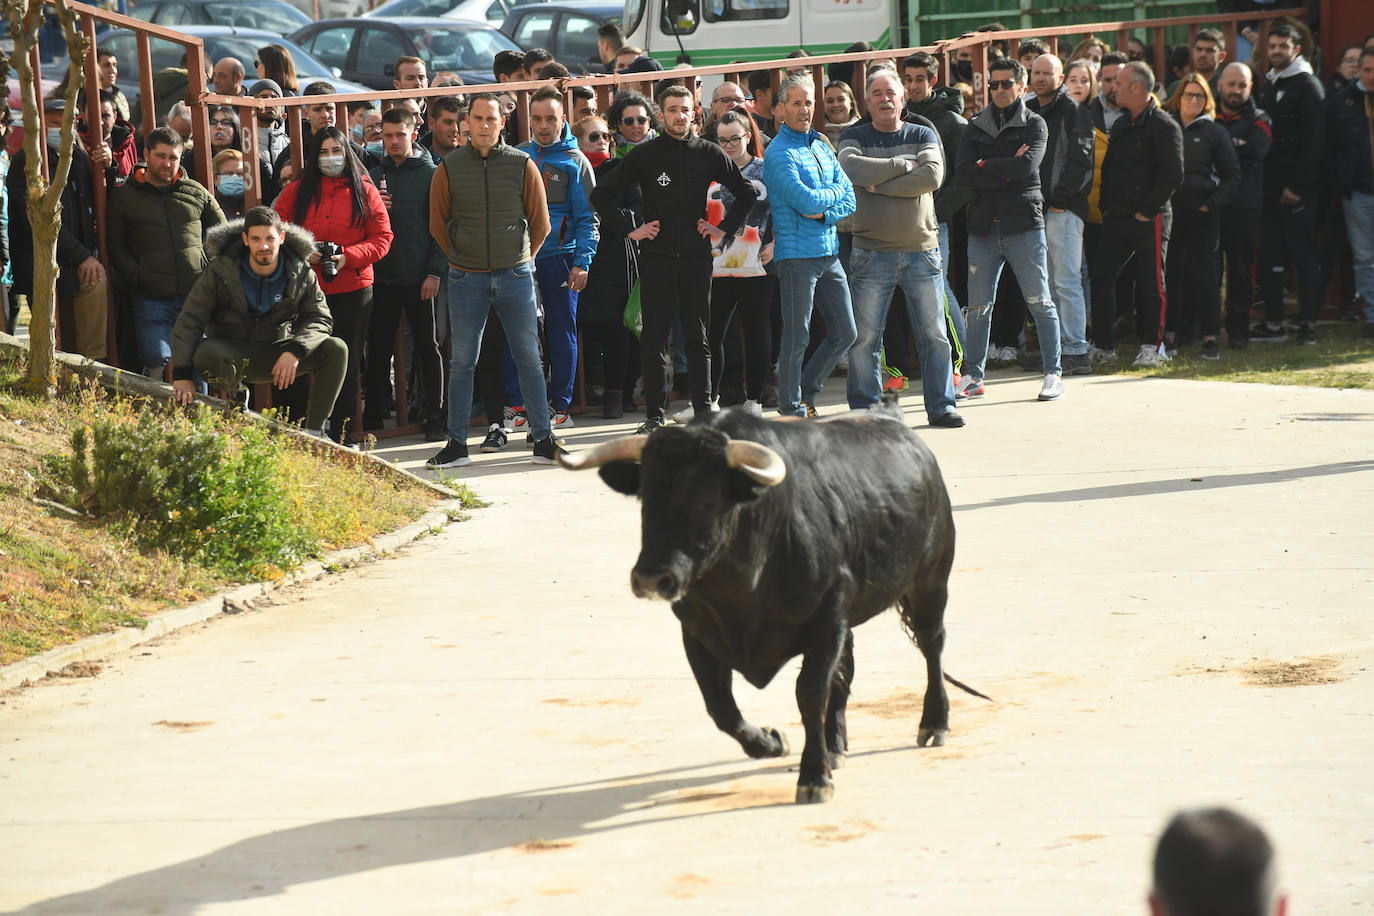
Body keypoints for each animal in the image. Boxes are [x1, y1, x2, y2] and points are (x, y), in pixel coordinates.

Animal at [557, 406, 978, 802]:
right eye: (646, 498)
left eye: (708, 500)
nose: (651, 579)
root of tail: (893, 420)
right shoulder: (697, 632)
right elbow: (721, 707)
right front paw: (772, 743)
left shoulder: (826, 621)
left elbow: (810, 694)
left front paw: (814, 777)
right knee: (847, 670)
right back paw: (835, 744)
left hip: (930, 581)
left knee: (932, 647)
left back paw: (934, 723)